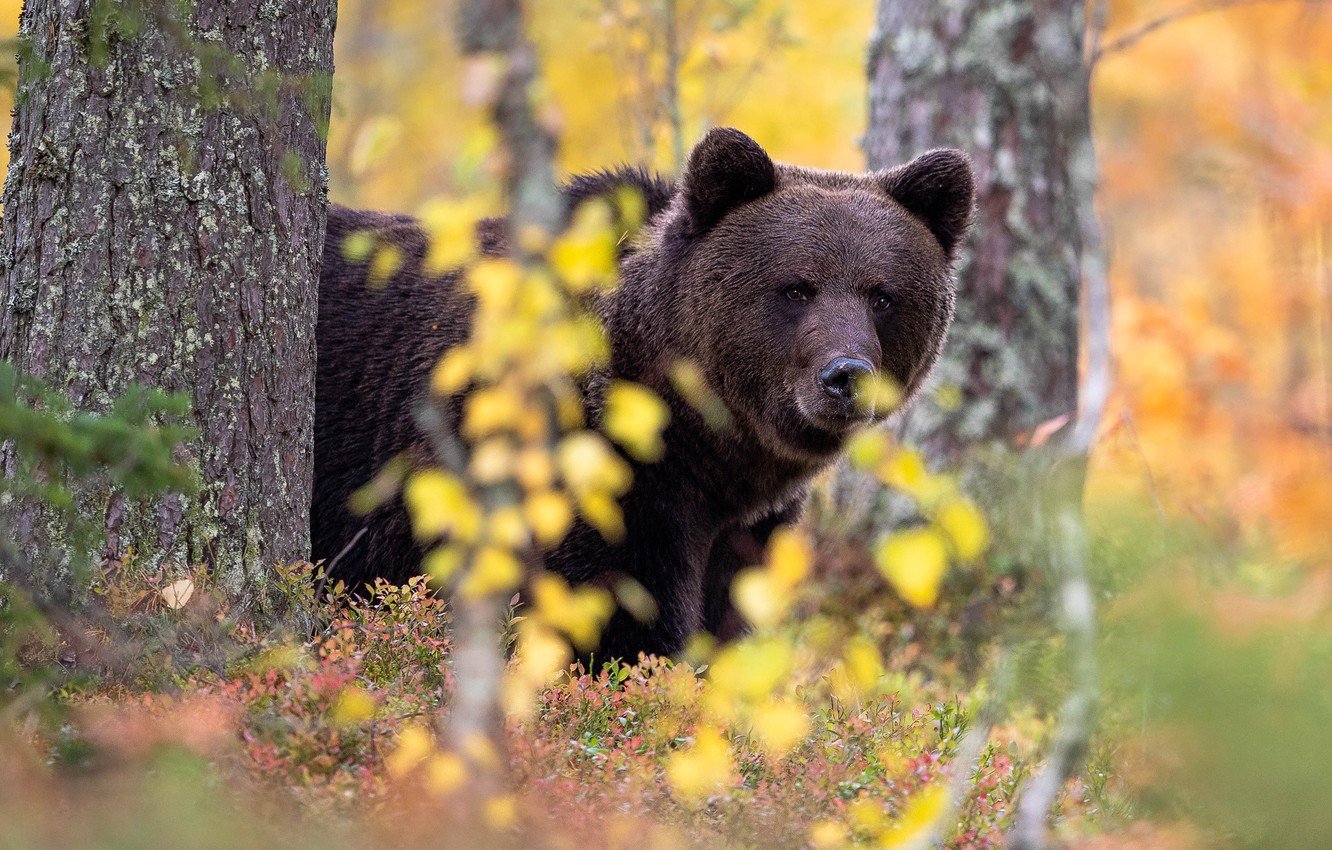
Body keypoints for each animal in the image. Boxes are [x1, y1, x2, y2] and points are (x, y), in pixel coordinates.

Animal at [315, 126, 975, 663]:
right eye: (796, 288)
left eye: (882, 295)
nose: (846, 375)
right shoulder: (602, 482)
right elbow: (617, 626)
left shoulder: (744, 528)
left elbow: (723, 622)